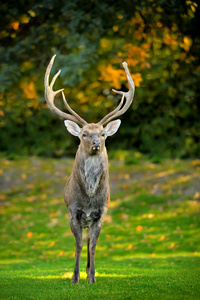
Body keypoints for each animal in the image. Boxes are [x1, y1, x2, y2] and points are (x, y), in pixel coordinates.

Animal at [43, 54, 134, 284]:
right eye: (84, 133)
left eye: (103, 133)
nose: (96, 143)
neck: (89, 198)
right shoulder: (73, 210)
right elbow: (78, 245)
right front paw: (75, 278)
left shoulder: (102, 212)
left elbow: (92, 246)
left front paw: (92, 277)